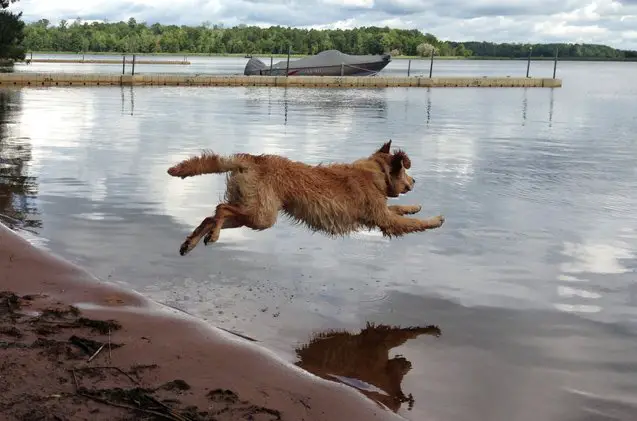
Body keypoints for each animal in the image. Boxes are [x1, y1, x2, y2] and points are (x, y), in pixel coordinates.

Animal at [169, 139, 448, 254]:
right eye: (406, 171)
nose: (415, 181)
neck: (375, 173)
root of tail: (251, 160)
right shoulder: (384, 219)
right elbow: (411, 223)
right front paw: (434, 220)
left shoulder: (380, 213)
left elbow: (400, 210)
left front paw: (415, 207)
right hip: (262, 215)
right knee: (220, 208)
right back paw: (211, 236)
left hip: (249, 207)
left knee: (210, 216)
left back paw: (190, 242)